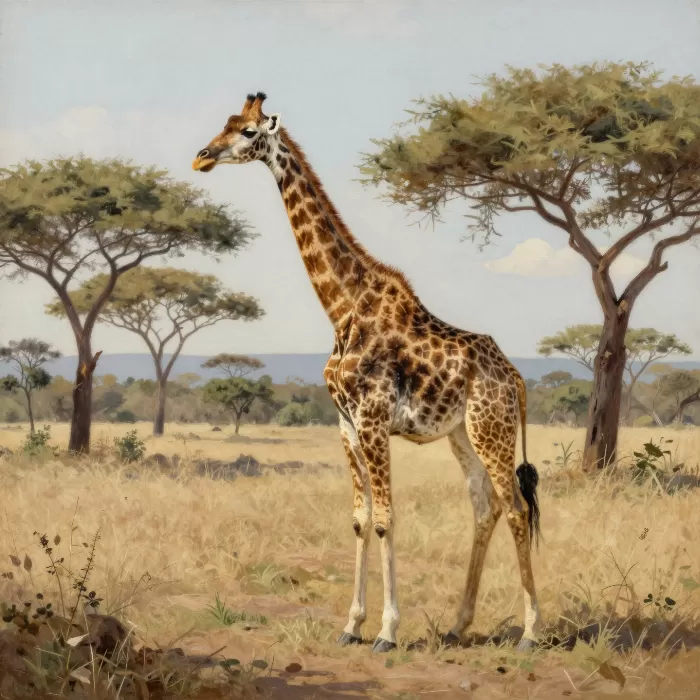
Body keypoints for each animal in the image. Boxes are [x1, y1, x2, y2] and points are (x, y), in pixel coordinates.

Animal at [192, 92, 543, 654]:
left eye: (248, 132)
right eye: (224, 123)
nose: (202, 156)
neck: (342, 308)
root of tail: (517, 380)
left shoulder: (375, 419)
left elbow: (384, 519)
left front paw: (386, 631)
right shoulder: (346, 423)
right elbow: (359, 520)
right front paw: (351, 625)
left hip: (493, 428)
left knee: (515, 507)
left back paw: (531, 630)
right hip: (461, 433)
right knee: (483, 505)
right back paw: (458, 623)